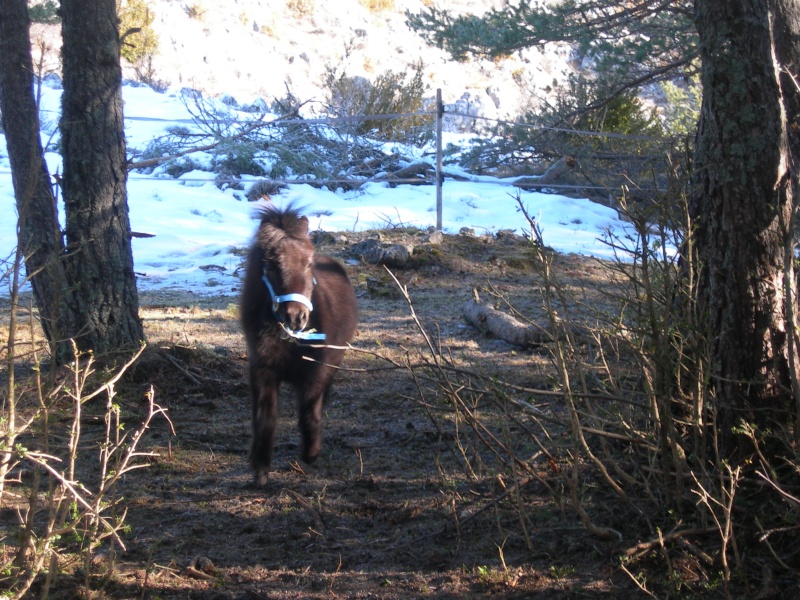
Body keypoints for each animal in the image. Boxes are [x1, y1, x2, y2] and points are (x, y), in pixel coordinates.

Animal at [239, 204, 358, 486]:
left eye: (308, 264)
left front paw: (310, 452)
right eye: (271, 265)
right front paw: (260, 469)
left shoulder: (316, 370)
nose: (296, 316)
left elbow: (308, 410)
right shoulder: (262, 371)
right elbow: (265, 417)